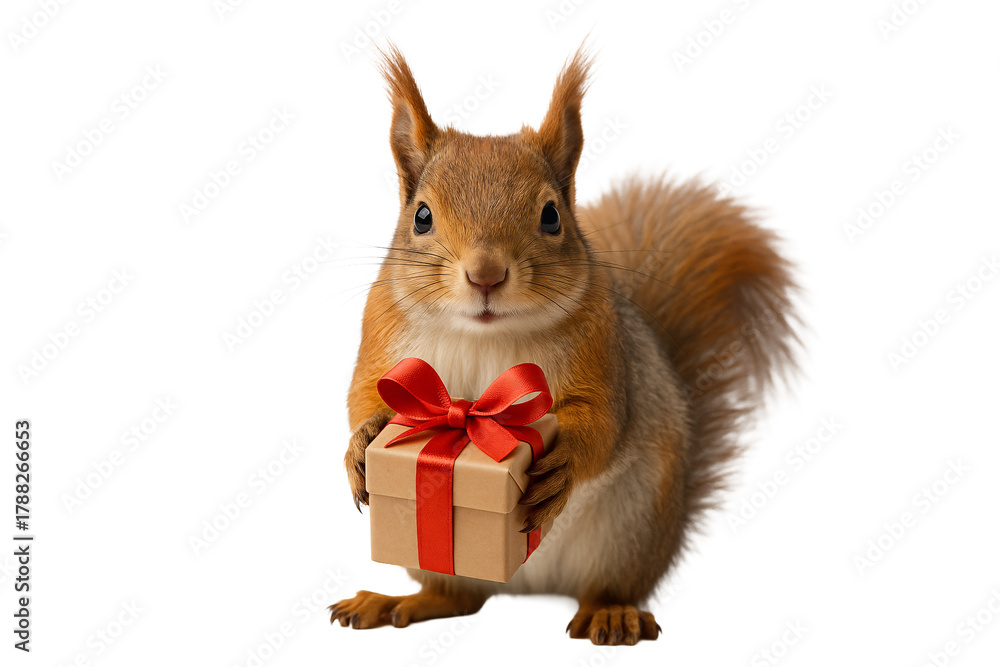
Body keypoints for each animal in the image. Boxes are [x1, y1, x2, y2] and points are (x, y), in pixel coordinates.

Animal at [330, 44, 798, 646]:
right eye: (422, 216)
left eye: (552, 215)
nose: (485, 275)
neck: (486, 334)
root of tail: (524, 585)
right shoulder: (381, 336)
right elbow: (363, 396)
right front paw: (363, 442)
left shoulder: (602, 348)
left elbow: (602, 420)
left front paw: (565, 460)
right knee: (457, 598)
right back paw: (395, 602)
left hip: (632, 527)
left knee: (604, 585)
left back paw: (611, 613)